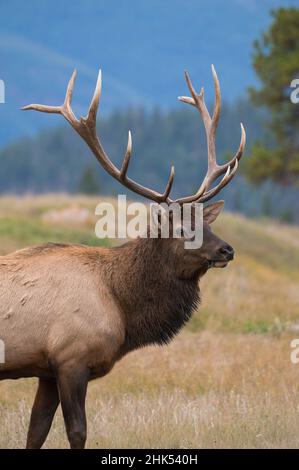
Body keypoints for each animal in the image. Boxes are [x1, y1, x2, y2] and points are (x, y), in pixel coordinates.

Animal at [0, 63, 246, 448]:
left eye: (205, 222)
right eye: (180, 229)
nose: (227, 249)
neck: (121, 305)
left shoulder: (47, 369)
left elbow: (35, 431)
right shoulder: (71, 358)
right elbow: (77, 431)